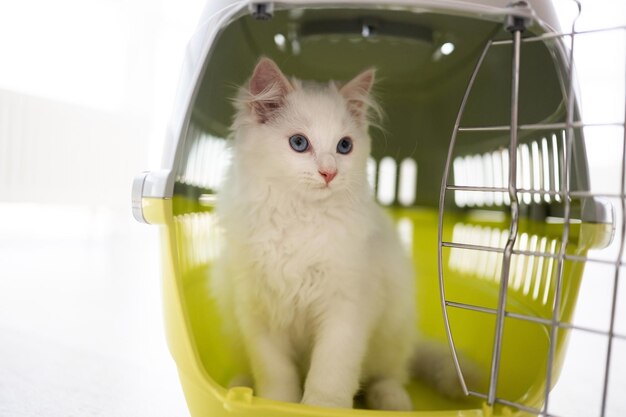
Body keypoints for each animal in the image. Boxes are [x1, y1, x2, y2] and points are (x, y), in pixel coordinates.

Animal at [214, 57, 464, 410]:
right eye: (299, 143)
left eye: (344, 146)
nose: (329, 172)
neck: (301, 216)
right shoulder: (257, 312)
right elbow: (276, 375)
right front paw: (276, 404)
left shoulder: (346, 307)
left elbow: (330, 373)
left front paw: (321, 406)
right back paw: (240, 386)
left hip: (394, 331)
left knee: (389, 375)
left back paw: (392, 401)